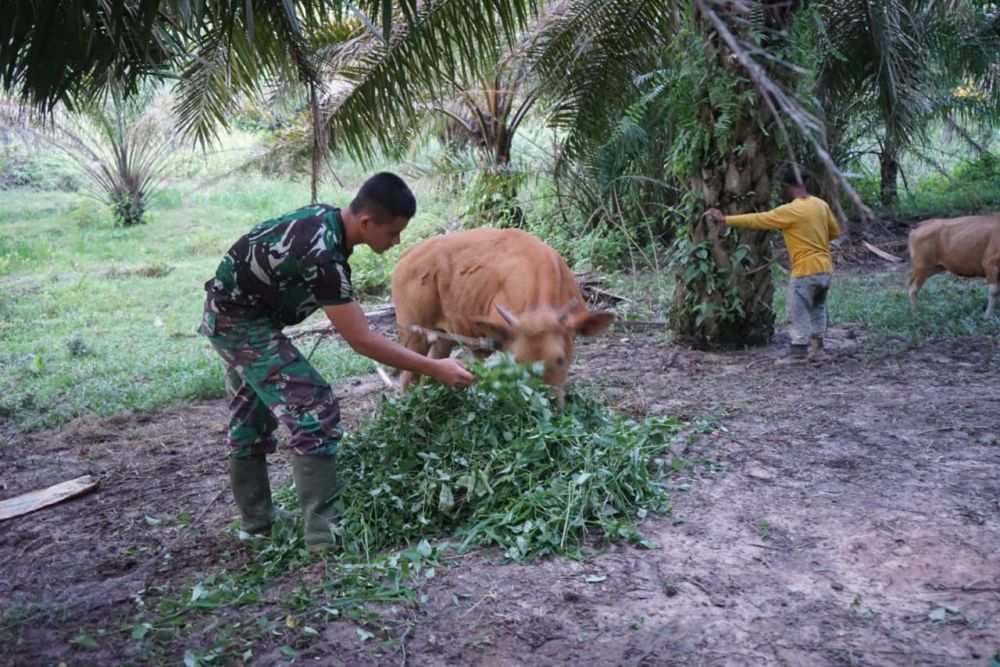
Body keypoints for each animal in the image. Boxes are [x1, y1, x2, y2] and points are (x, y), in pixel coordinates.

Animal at [392, 227, 616, 402]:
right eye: (518, 362)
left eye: (560, 359)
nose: (544, 401)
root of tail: (406, 257)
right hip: (414, 334)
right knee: (407, 375)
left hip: (443, 337)